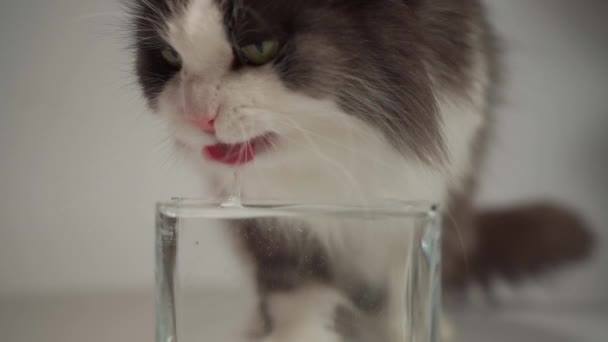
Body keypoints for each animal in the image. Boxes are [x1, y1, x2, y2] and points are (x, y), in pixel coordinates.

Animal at [129, 1, 592, 340]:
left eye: (259, 48)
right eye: (170, 56)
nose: (197, 115)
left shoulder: (427, 196)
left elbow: (403, 285)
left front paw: (403, 328)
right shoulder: (270, 224)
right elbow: (293, 283)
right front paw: (297, 335)